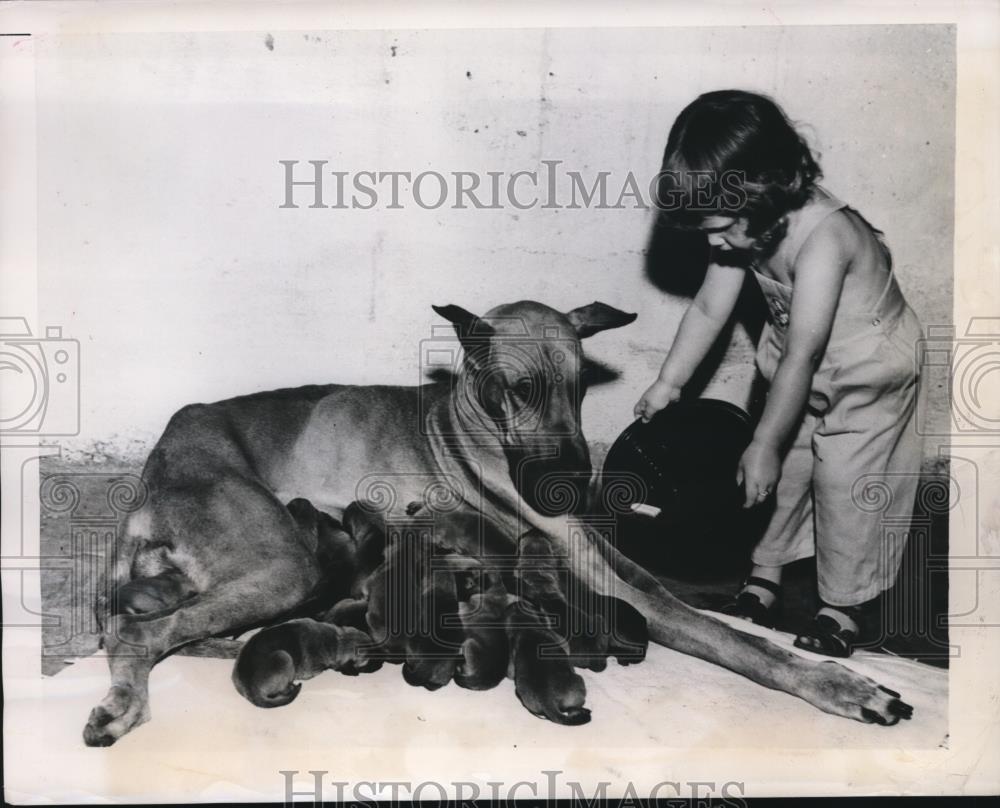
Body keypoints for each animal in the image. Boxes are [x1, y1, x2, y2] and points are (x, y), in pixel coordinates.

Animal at [84, 302, 916, 744]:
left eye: (581, 387)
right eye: (518, 388)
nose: (573, 483)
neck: (465, 422)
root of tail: (160, 457)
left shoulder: (620, 572)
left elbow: (710, 611)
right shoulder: (621, 589)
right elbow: (734, 641)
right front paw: (840, 686)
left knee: (151, 619)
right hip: (286, 563)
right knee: (135, 636)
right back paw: (124, 704)